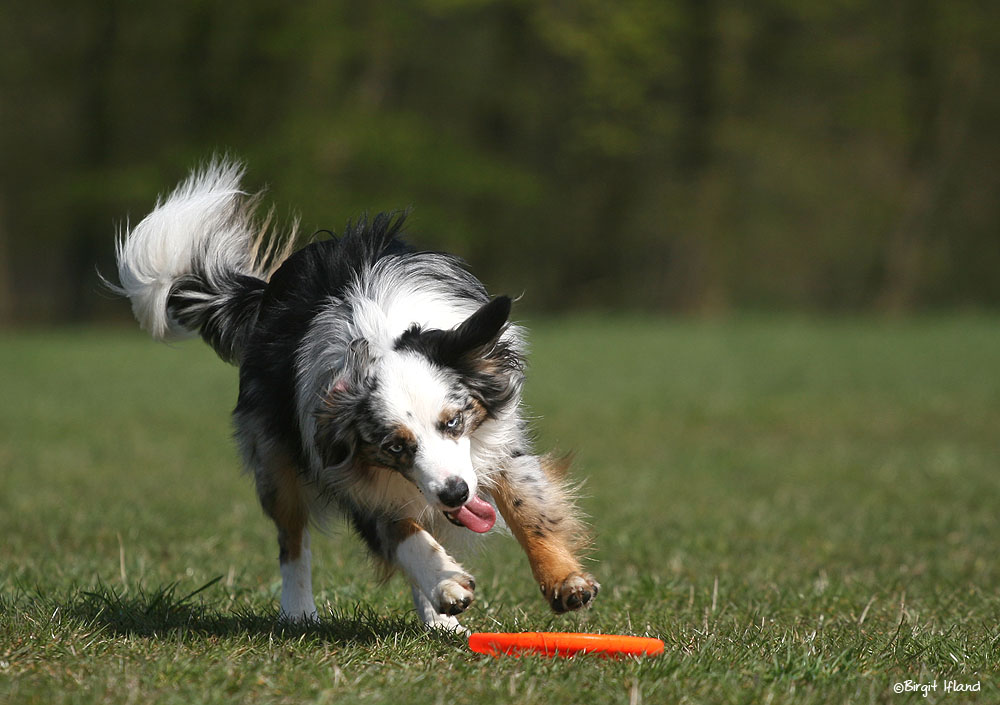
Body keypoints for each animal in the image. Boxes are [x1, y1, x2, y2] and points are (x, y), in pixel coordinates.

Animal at [113, 161, 596, 632]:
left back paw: (439, 622)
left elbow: (528, 506)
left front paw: (563, 580)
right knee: (292, 537)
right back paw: (299, 611)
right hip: (274, 458)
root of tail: (260, 294)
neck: (379, 337)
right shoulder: (344, 471)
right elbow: (401, 534)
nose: (455, 493)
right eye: (394, 446)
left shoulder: (497, 440)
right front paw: (445, 581)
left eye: (453, 422)